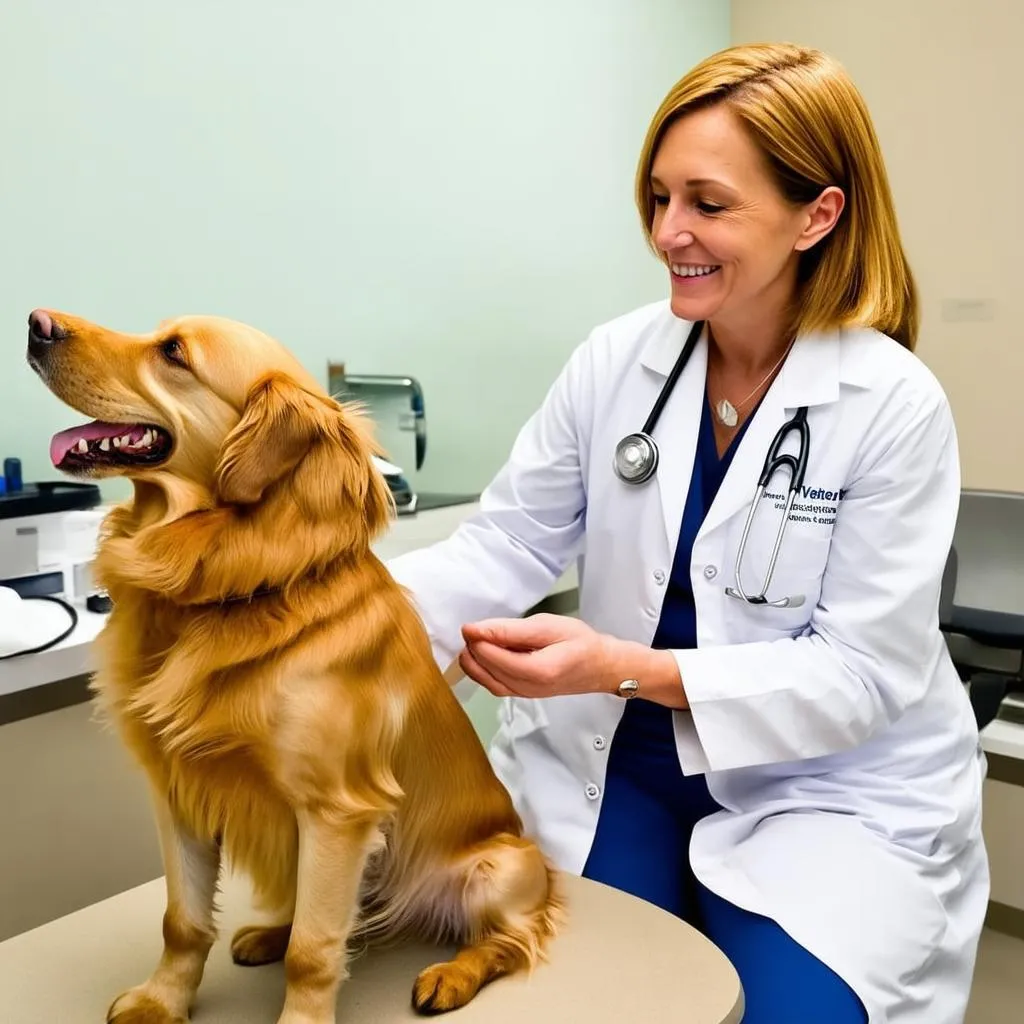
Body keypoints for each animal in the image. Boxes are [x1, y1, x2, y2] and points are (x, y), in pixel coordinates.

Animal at [28, 307, 565, 1019]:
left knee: (506, 941)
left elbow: (314, 952)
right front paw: (163, 1000)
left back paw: (452, 974)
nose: (35, 324)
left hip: (497, 868)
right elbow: (183, 922)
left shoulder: (336, 812)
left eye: (173, 353)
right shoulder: (178, 792)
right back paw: (268, 934)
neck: (226, 586)